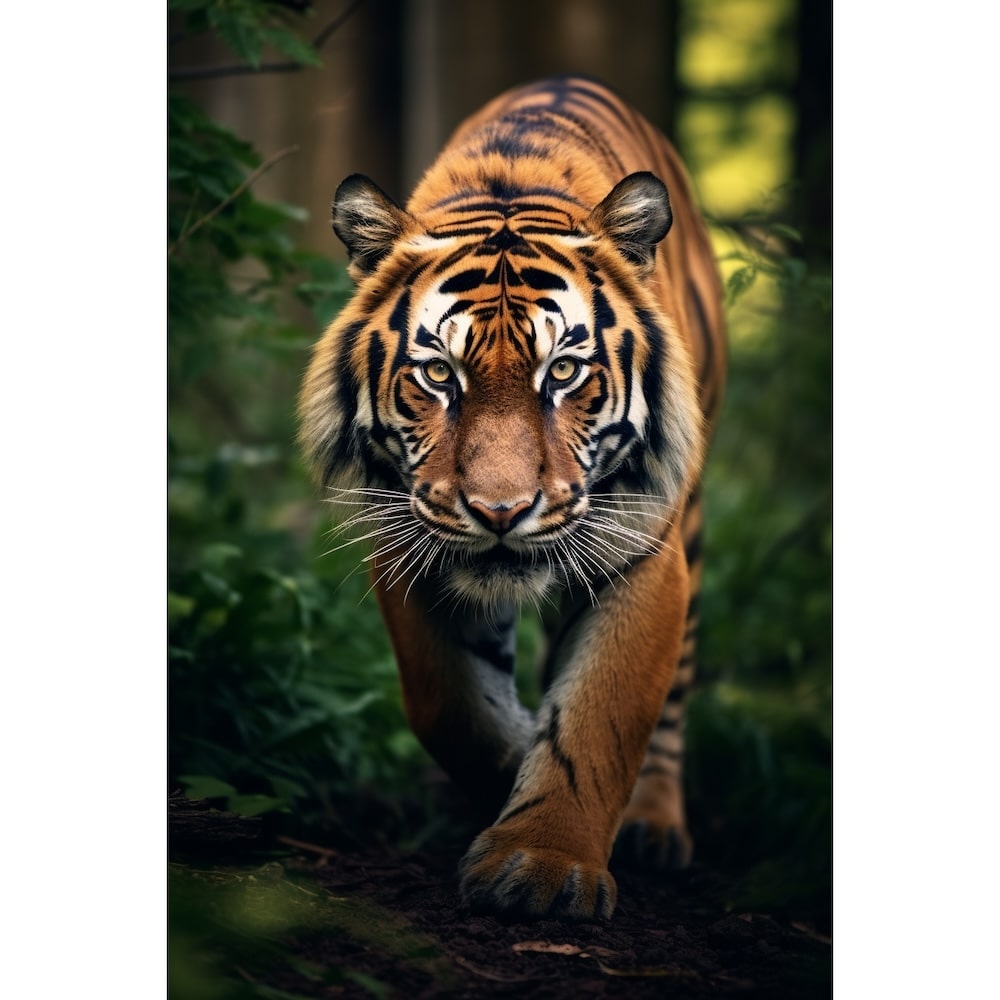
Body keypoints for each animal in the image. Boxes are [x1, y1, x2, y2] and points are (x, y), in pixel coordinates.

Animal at [298, 76, 726, 921]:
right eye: (439, 375)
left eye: (562, 373)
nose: (500, 512)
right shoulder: (406, 541)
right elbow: (447, 705)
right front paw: (514, 771)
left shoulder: (642, 551)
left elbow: (603, 716)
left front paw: (543, 866)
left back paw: (656, 825)